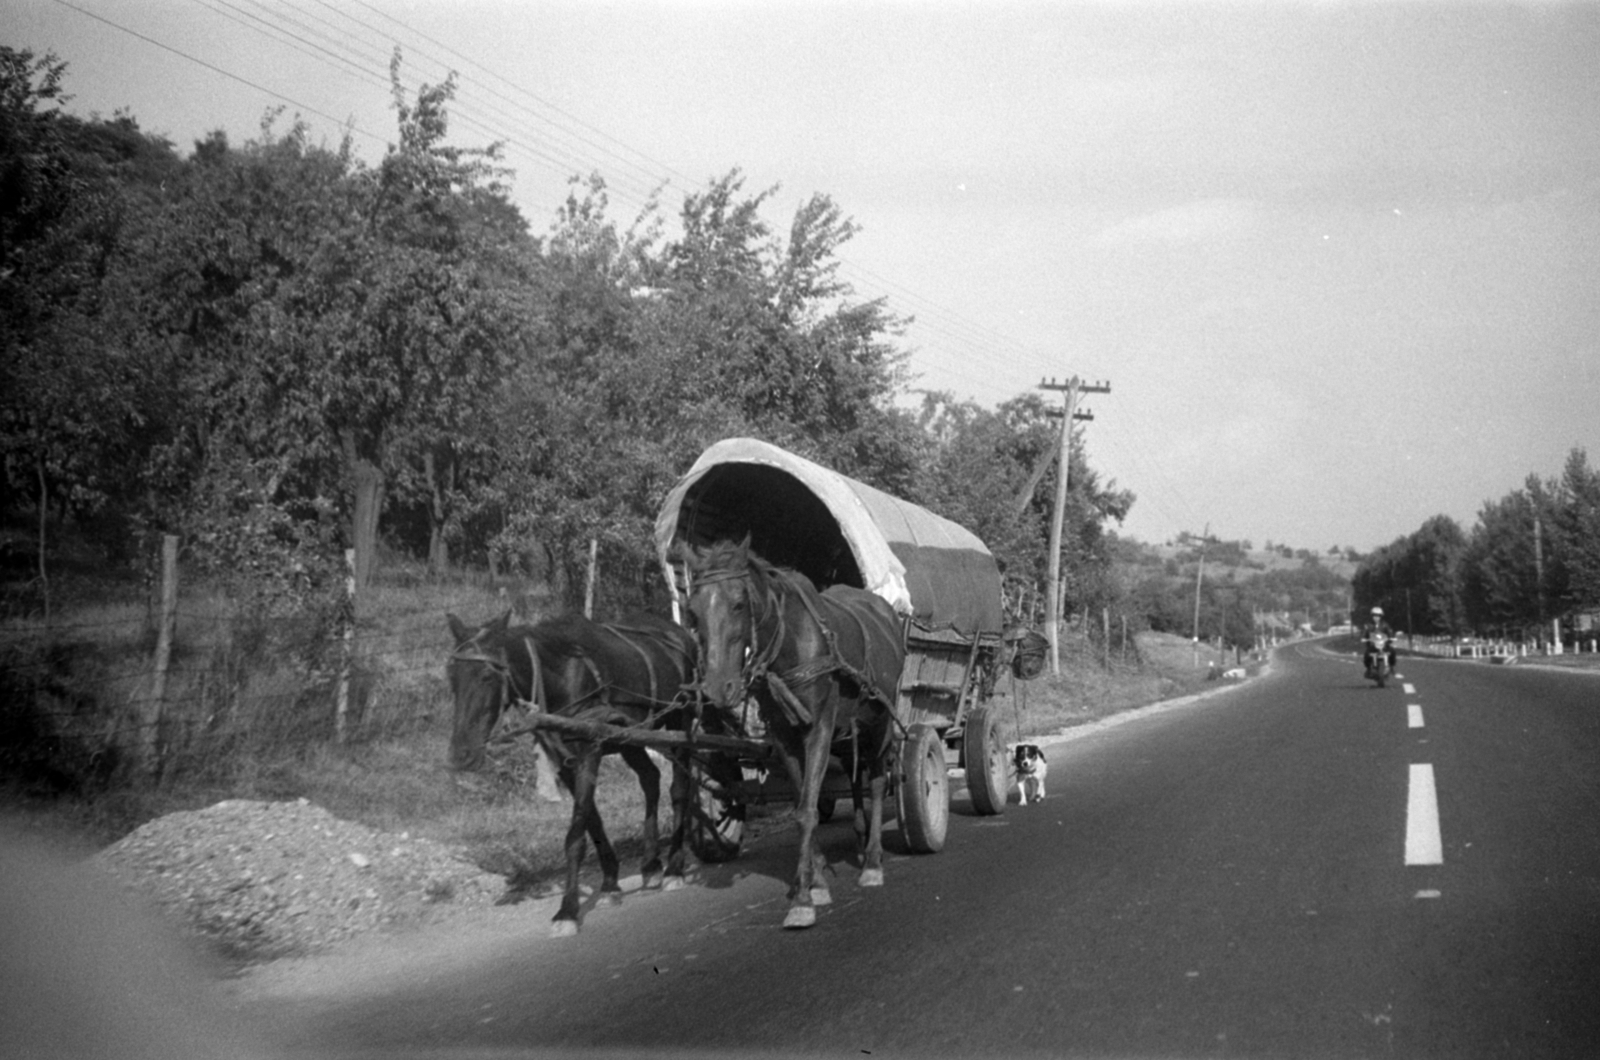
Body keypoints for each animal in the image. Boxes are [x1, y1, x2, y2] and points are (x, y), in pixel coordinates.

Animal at [451, 611, 700, 941]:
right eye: (452, 678)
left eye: (487, 677)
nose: (461, 754)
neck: (560, 676)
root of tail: (678, 631)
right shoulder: (565, 762)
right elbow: (592, 823)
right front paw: (609, 884)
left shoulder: (588, 752)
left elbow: (575, 837)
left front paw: (567, 910)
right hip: (629, 735)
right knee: (650, 779)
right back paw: (650, 865)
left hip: (680, 721)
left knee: (679, 789)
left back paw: (674, 867)